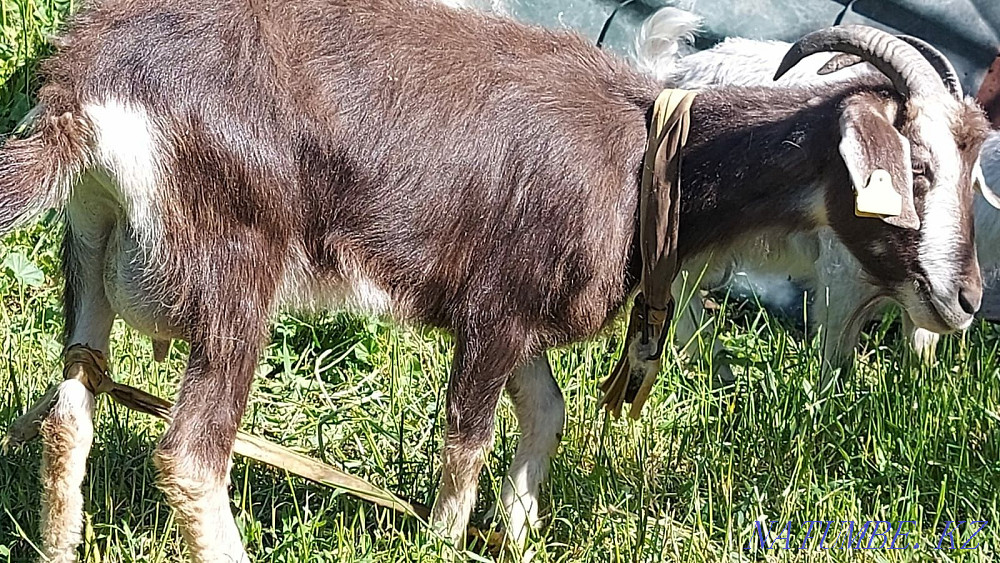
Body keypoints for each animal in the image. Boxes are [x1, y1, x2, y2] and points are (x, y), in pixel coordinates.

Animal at [635, 7, 1000, 372]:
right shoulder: (841, 281)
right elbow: (835, 362)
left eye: (970, 178)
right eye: (915, 166)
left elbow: (920, 353)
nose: (968, 300)